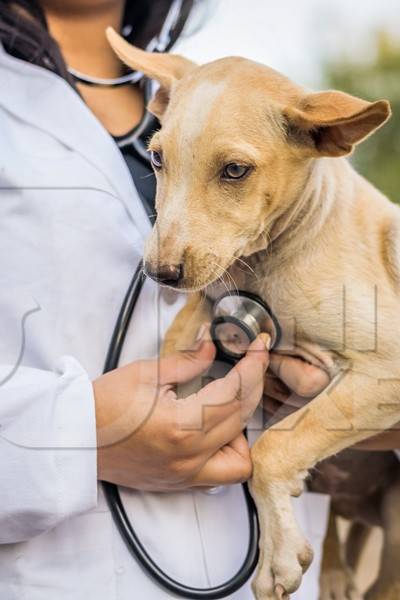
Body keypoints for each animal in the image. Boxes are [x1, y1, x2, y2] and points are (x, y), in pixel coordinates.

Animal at [108, 29, 400, 600]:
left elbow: (272, 447)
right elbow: (179, 352)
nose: (160, 273)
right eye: (157, 160)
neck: (267, 266)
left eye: (235, 170)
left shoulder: (387, 368)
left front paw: (277, 557)